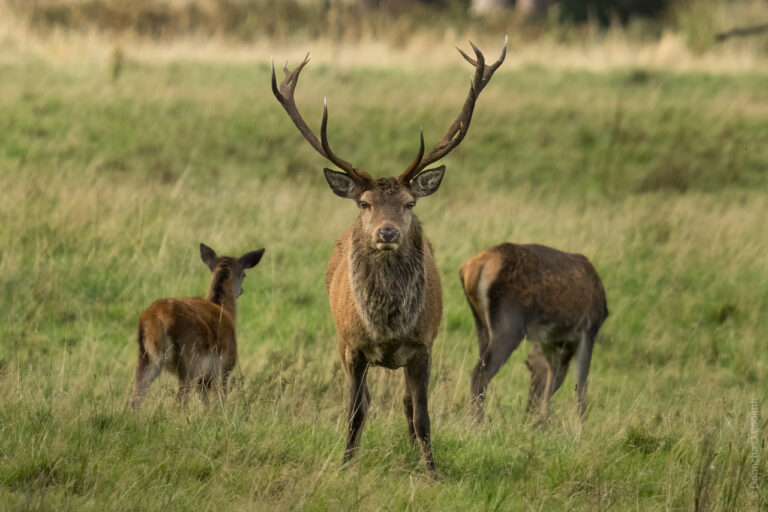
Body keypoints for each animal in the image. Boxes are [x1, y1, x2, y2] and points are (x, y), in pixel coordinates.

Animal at [129, 243, 265, 410]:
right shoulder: (225, 366)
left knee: (136, 397)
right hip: (190, 359)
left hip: (145, 356)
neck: (225, 311)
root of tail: (158, 319)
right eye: (244, 274)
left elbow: (205, 401)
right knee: (180, 400)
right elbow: (220, 399)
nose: (241, 291)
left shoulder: (205, 377)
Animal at [271, 40, 506, 472]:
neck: (388, 329)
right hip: (341, 343)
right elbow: (355, 412)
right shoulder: (352, 347)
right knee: (366, 402)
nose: (388, 232)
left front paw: (431, 470)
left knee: (407, 403)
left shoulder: (423, 346)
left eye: (409, 202)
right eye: (365, 203)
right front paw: (345, 463)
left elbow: (422, 414)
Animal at [460, 243, 607, 422]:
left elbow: (554, 376)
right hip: (509, 323)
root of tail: (474, 266)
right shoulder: (589, 329)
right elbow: (580, 384)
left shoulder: (550, 341)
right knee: (479, 374)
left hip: (481, 324)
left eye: (528, 363)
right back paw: (478, 422)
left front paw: (542, 421)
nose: (530, 408)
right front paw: (579, 424)